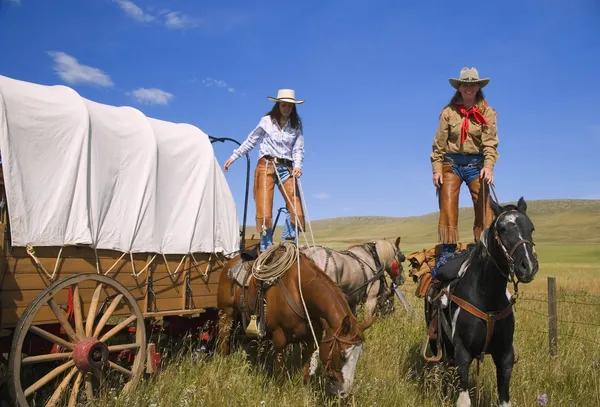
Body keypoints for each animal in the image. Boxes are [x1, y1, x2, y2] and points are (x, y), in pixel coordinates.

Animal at [218, 242, 372, 398]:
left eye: (359, 355)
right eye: (342, 355)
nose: (344, 392)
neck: (299, 291)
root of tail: (228, 263)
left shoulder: (311, 340)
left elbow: (306, 370)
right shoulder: (279, 338)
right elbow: (280, 371)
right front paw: (278, 392)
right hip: (226, 314)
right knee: (224, 338)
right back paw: (225, 363)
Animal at [426, 196, 540, 406]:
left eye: (531, 228)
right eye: (502, 229)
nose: (528, 266)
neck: (488, 301)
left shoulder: (505, 356)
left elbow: (504, 400)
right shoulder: (462, 353)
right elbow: (463, 400)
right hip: (439, 343)